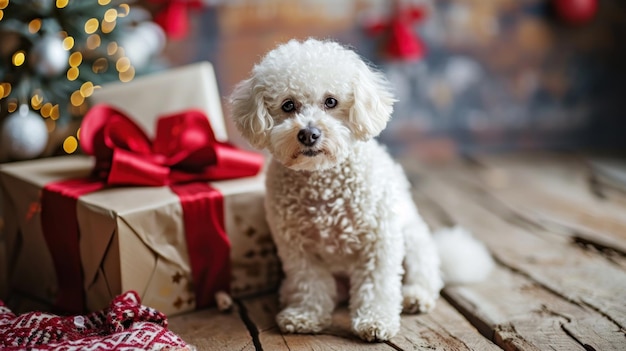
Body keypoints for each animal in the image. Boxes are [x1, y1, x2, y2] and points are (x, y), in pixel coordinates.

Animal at [229, 39, 492, 344]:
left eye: (331, 101)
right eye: (288, 105)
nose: (309, 134)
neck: (322, 181)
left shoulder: (378, 241)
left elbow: (377, 285)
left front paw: (375, 321)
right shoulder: (297, 248)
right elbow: (308, 283)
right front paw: (305, 315)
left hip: (413, 239)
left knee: (426, 275)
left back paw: (414, 297)